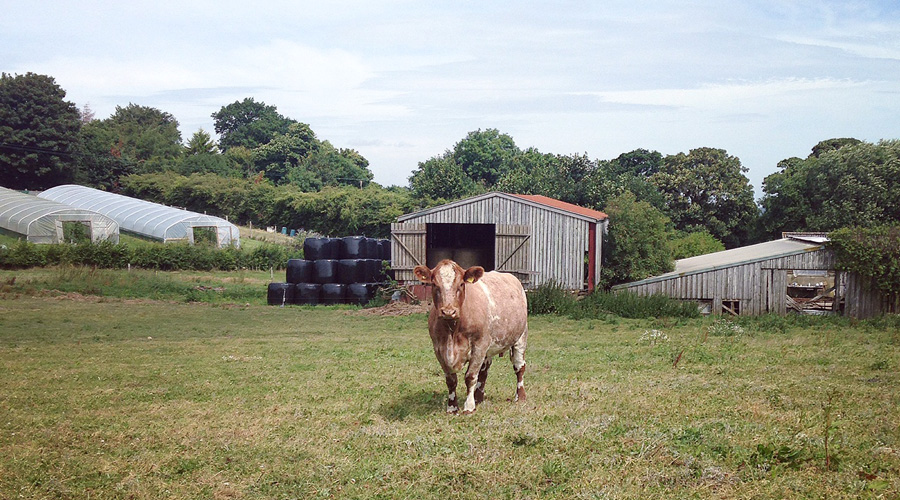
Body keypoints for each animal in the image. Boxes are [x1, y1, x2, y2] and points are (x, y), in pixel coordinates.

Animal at [414, 258, 528, 414]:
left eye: (461, 284)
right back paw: (479, 397)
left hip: (520, 338)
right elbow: (451, 380)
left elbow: (470, 376)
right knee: (484, 371)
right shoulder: (439, 349)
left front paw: (468, 406)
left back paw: (520, 396)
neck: (452, 331)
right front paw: (452, 407)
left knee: (519, 367)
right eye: (435, 284)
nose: (448, 311)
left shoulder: (479, 346)